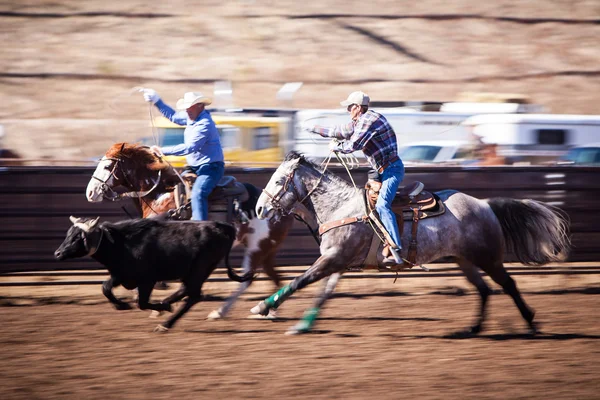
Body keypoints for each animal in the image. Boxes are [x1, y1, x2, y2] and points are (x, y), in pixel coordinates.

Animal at [85, 144, 298, 318]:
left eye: (107, 166)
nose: (90, 192)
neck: (159, 195)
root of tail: (282, 210)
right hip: (266, 250)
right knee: (274, 277)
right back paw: (269, 311)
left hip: (256, 248)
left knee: (246, 281)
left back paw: (220, 312)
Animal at [251, 152, 568, 336]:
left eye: (278, 180)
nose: (259, 209)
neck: (341, 207)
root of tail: (486, 205)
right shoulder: (338, 261)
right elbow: (323, 294)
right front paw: (304, 324)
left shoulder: (331, 259)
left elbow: (299, 281)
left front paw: (263, 307)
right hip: (465, 260)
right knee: (484, 289)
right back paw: (473, 328)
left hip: (487, 258)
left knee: (508, 284)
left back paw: (530, 322)